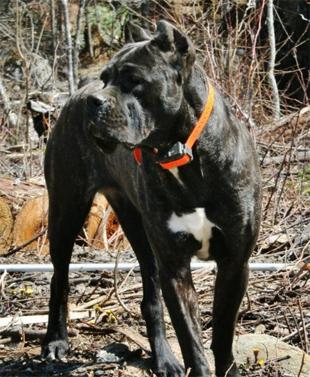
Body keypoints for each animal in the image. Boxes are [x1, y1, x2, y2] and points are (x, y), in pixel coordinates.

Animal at [42, 21, 262, 376]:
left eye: (134, 79)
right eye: (105, 78)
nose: (94, 101)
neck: (183, 153)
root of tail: (74, 95)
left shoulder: (234, 262)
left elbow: (223, 334)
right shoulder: (174, 268)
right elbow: (191, 340)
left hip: (138, 230)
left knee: (150, 299)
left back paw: (163, 358)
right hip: (66, 212)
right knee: (59, 279)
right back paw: (56, 341)